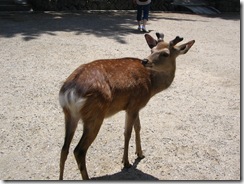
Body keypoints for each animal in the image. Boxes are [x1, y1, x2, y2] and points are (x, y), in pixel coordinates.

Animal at [57, 32, 194, 180]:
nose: (145, 61)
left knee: (64, 148)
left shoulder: (137, 106)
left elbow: (138, 127)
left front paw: (140, 154)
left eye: (165, 53)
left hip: (69, 114)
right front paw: (126, 162)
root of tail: (70, 91)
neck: (151, 85)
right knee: (79, 150)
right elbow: (127, 132)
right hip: (95, 115)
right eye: (152, 50)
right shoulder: (133, 105)